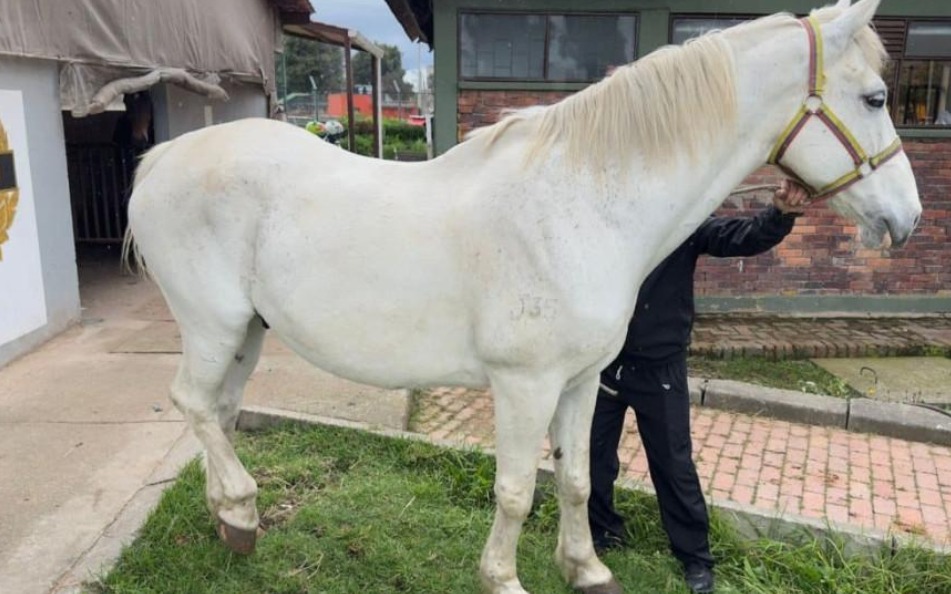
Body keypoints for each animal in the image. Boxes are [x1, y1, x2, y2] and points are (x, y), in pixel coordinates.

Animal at [123, 1, 920, 592]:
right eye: (875, 97)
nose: (907, 219)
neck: (584, 206)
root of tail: (162, 158)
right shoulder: (524, 384)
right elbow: (515, 489)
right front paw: (503, 578)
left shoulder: (582, 381)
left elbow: (575, 479)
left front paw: (587, 568)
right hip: (213, 324)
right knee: (194, 403)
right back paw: (240, 507)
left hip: (248, 333)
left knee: (221, 411)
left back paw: (231, 521)